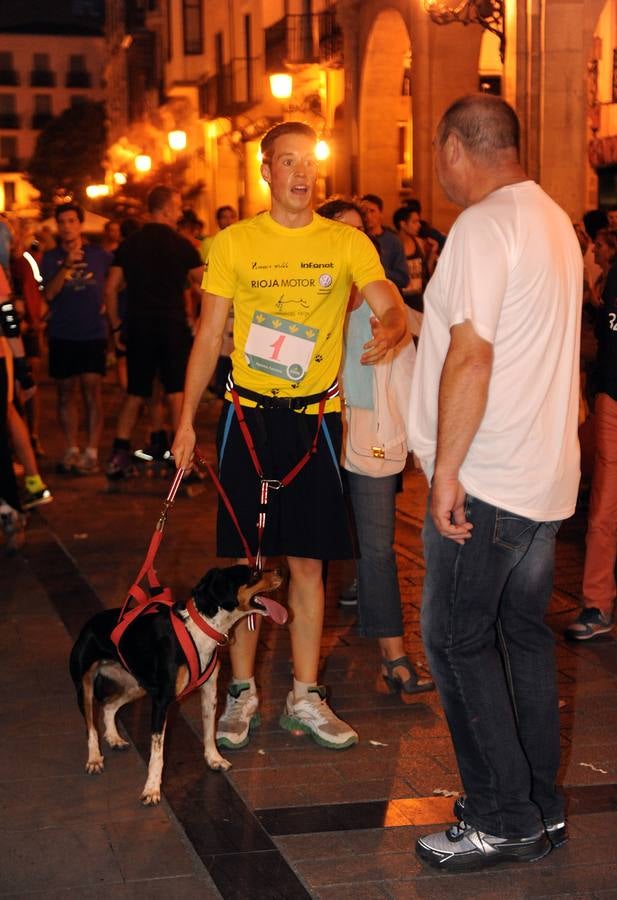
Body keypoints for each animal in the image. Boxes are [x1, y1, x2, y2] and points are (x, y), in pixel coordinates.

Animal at [68, 568, 286, 804]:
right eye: (255, 573)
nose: (281, 572)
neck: (201, 627)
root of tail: (90, 624)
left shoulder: (209, 693)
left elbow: (209, 731)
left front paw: (214, 759)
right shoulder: (162, 701)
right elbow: (157, 753)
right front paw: (152, 789)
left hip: (137, 686)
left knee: (108, 705)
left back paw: (115, 738)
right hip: (85, 688)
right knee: (91, 727)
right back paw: (94, 759)